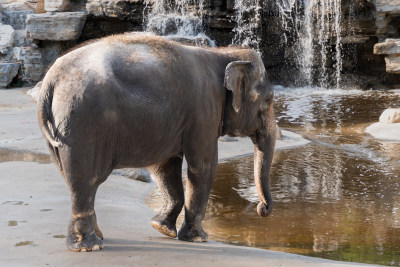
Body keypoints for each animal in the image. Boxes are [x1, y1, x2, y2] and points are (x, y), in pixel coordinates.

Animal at [36, 32, 276, 252]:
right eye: (268, 101)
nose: (262, 210)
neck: (222, 53)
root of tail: (51, 80)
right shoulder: (204, 110)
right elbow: (203, 165)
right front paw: (198, 239)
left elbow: (164, 166)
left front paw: (161, 228)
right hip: (82, 121)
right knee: (85, 181)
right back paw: (89, 246)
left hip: (61, 129)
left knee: (73, 178)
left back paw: (96, 238)